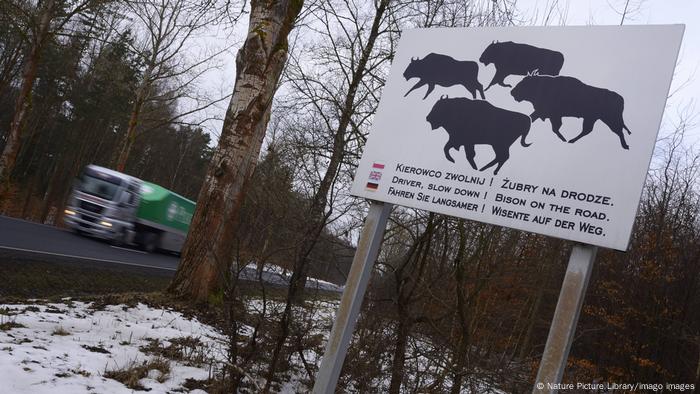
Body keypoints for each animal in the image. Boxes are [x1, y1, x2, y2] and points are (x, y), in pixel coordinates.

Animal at [508, 74, 636, 149]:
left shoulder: (549, 114)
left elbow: (553, 127)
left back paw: (625, 146)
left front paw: (563, 138)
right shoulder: (547, 114)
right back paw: (571, 140)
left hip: (608, 119)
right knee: (588, 130)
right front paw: (563, 138)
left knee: (618, 131)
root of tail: (620, 98)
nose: (512, 92)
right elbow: (538, 120)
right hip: (593, 118)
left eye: (525, 83)